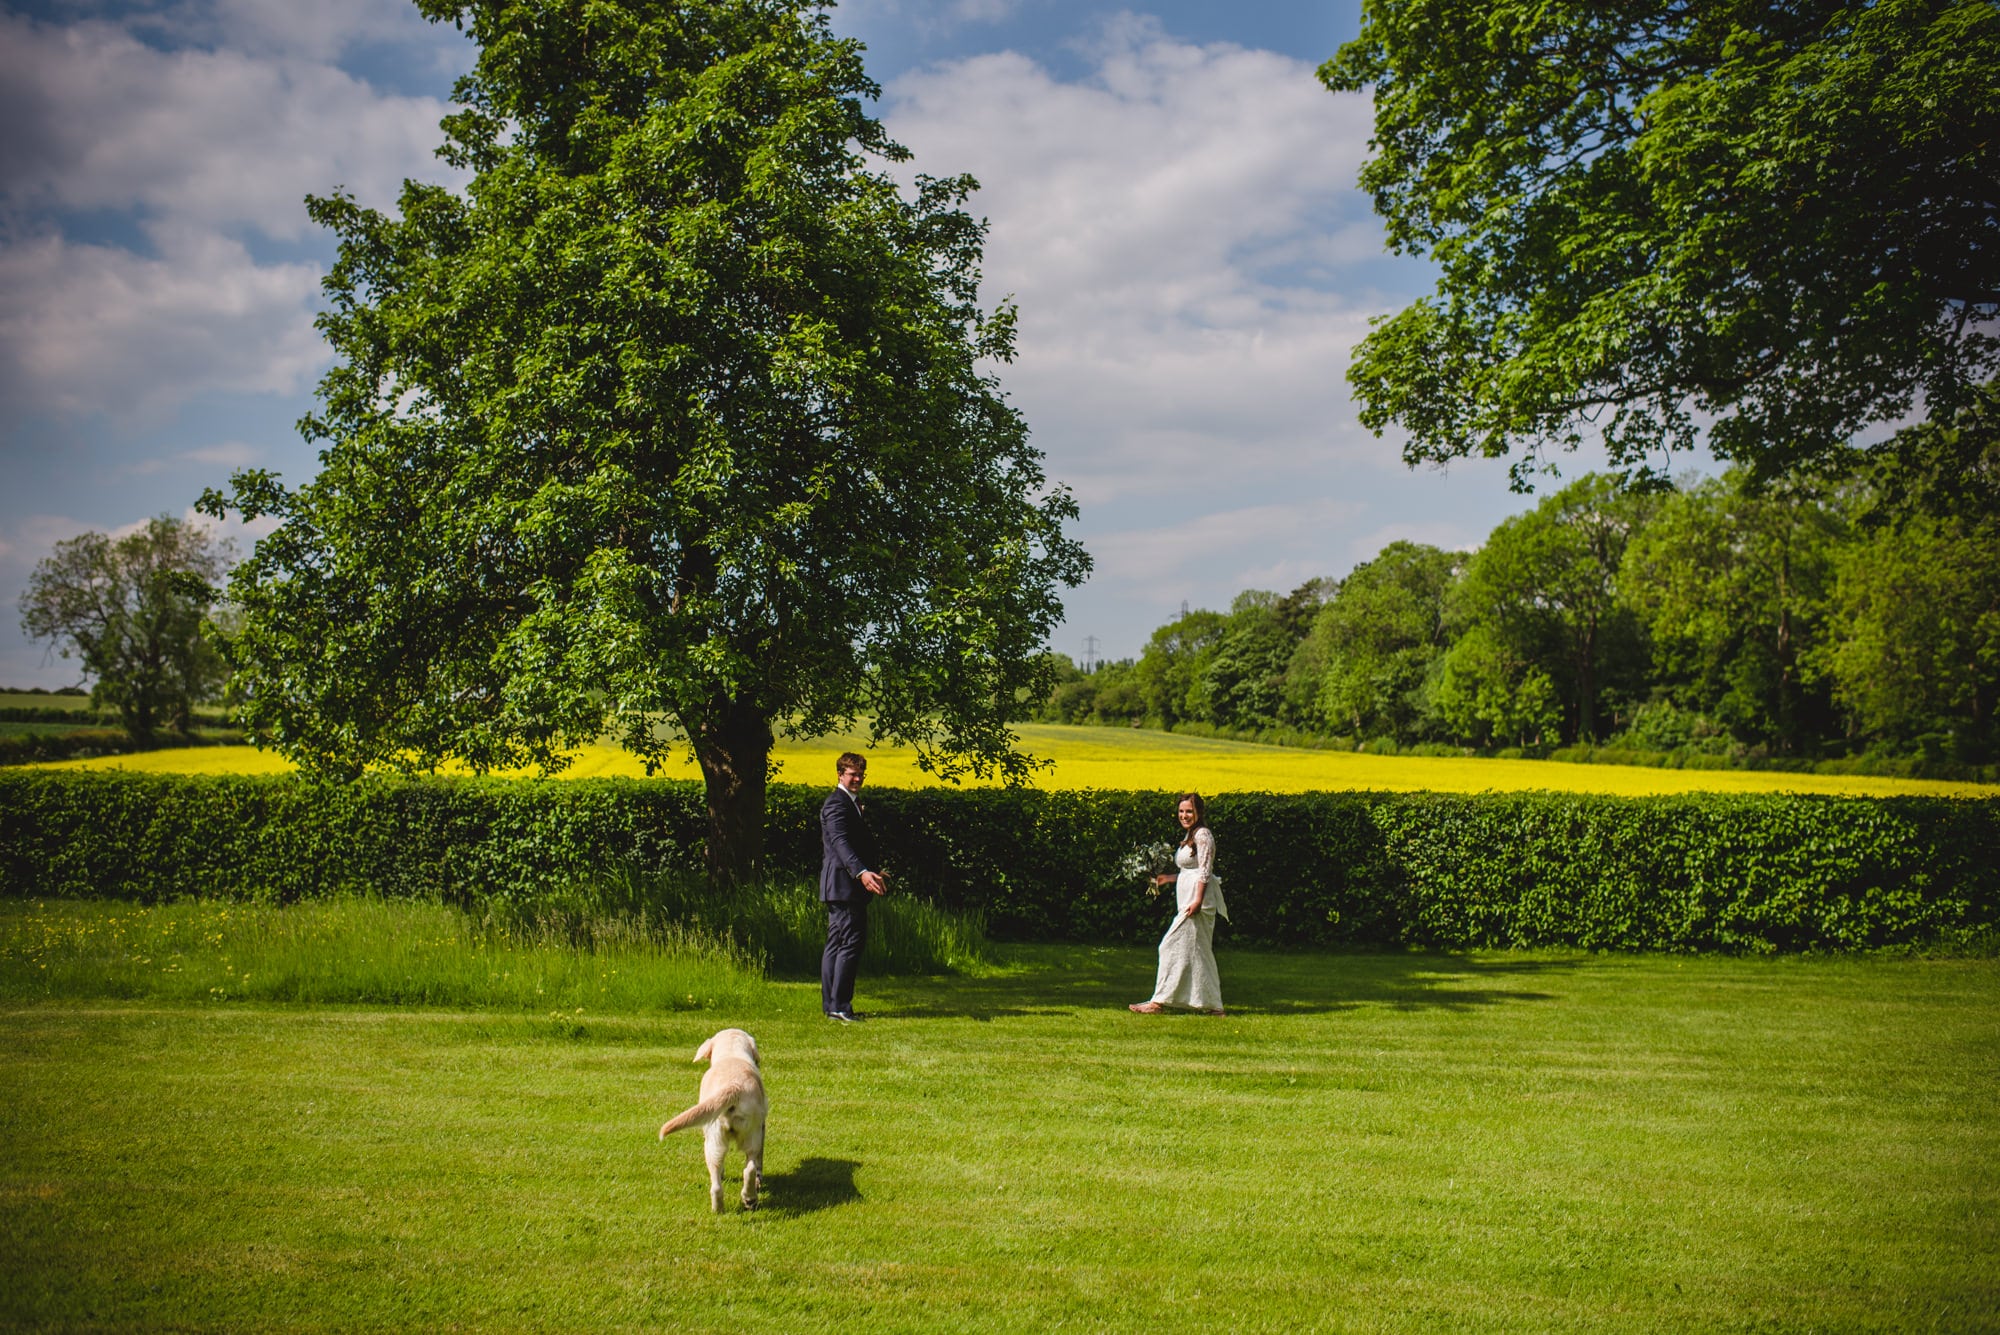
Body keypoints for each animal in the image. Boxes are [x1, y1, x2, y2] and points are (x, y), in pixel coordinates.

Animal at [664, 1031, 772, 1215]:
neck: (731, 1054)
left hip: (714, 1140)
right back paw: (749, 1198)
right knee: (749, 1168)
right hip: (750, 1135)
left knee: (718, 1183)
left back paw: (720, 1207)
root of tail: (733, 1085)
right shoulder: (762, 1128)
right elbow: (759, 1162)